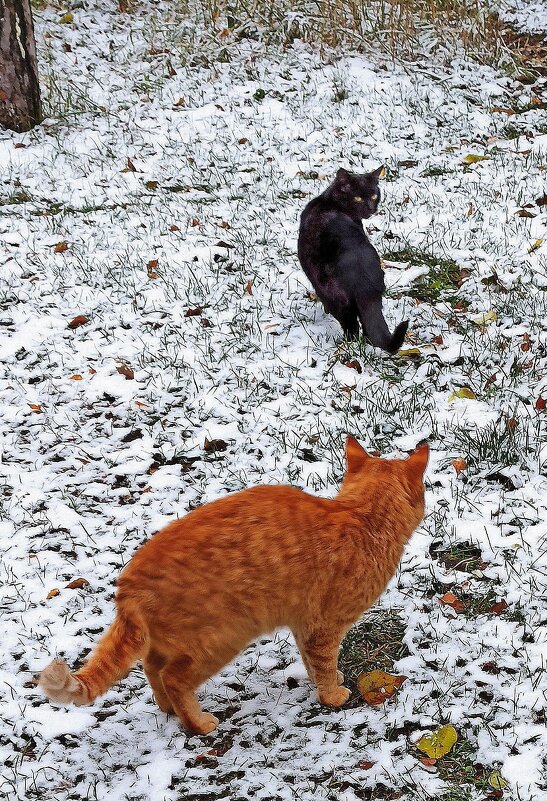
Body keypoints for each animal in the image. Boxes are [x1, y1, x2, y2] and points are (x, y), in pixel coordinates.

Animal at [40, 438, 430, 732]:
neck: (362, 517)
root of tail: (129, 583)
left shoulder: (303, 623)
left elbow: (311, 662)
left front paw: (325, 682)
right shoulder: (324, 626)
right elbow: (322, 664)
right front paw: (332, 695)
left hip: (174, 642)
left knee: (152, 668)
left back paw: (169, 710)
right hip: (220, 639)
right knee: (172, 677)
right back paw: (198, 723)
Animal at [298, 167, 408, 352]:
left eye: (373, 196)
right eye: (358, 198)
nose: (371, 208)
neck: (330, 201)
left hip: (332, 294)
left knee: (351, 324)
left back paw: (348, 344)